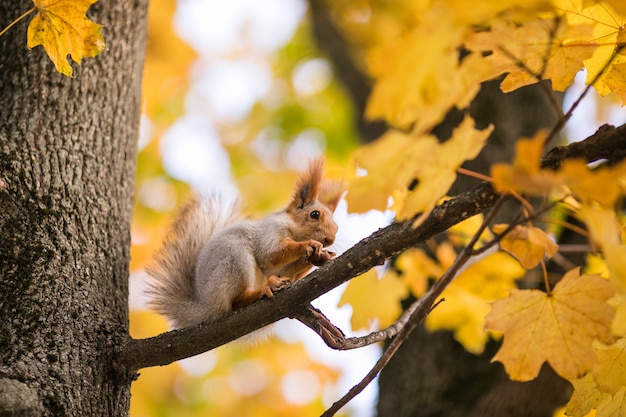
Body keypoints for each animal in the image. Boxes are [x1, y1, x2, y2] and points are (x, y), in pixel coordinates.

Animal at [145, 158, 342, 328]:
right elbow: (270, 254)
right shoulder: (269, 232)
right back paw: (263, 290)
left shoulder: (283, 269)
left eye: (337, 226)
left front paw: (321, 257)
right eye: (314, 214)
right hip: (234, 260)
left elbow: (284, 271)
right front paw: (309, 245)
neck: (292, 229)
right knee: (235, 302)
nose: (329, 240)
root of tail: (204, 306)